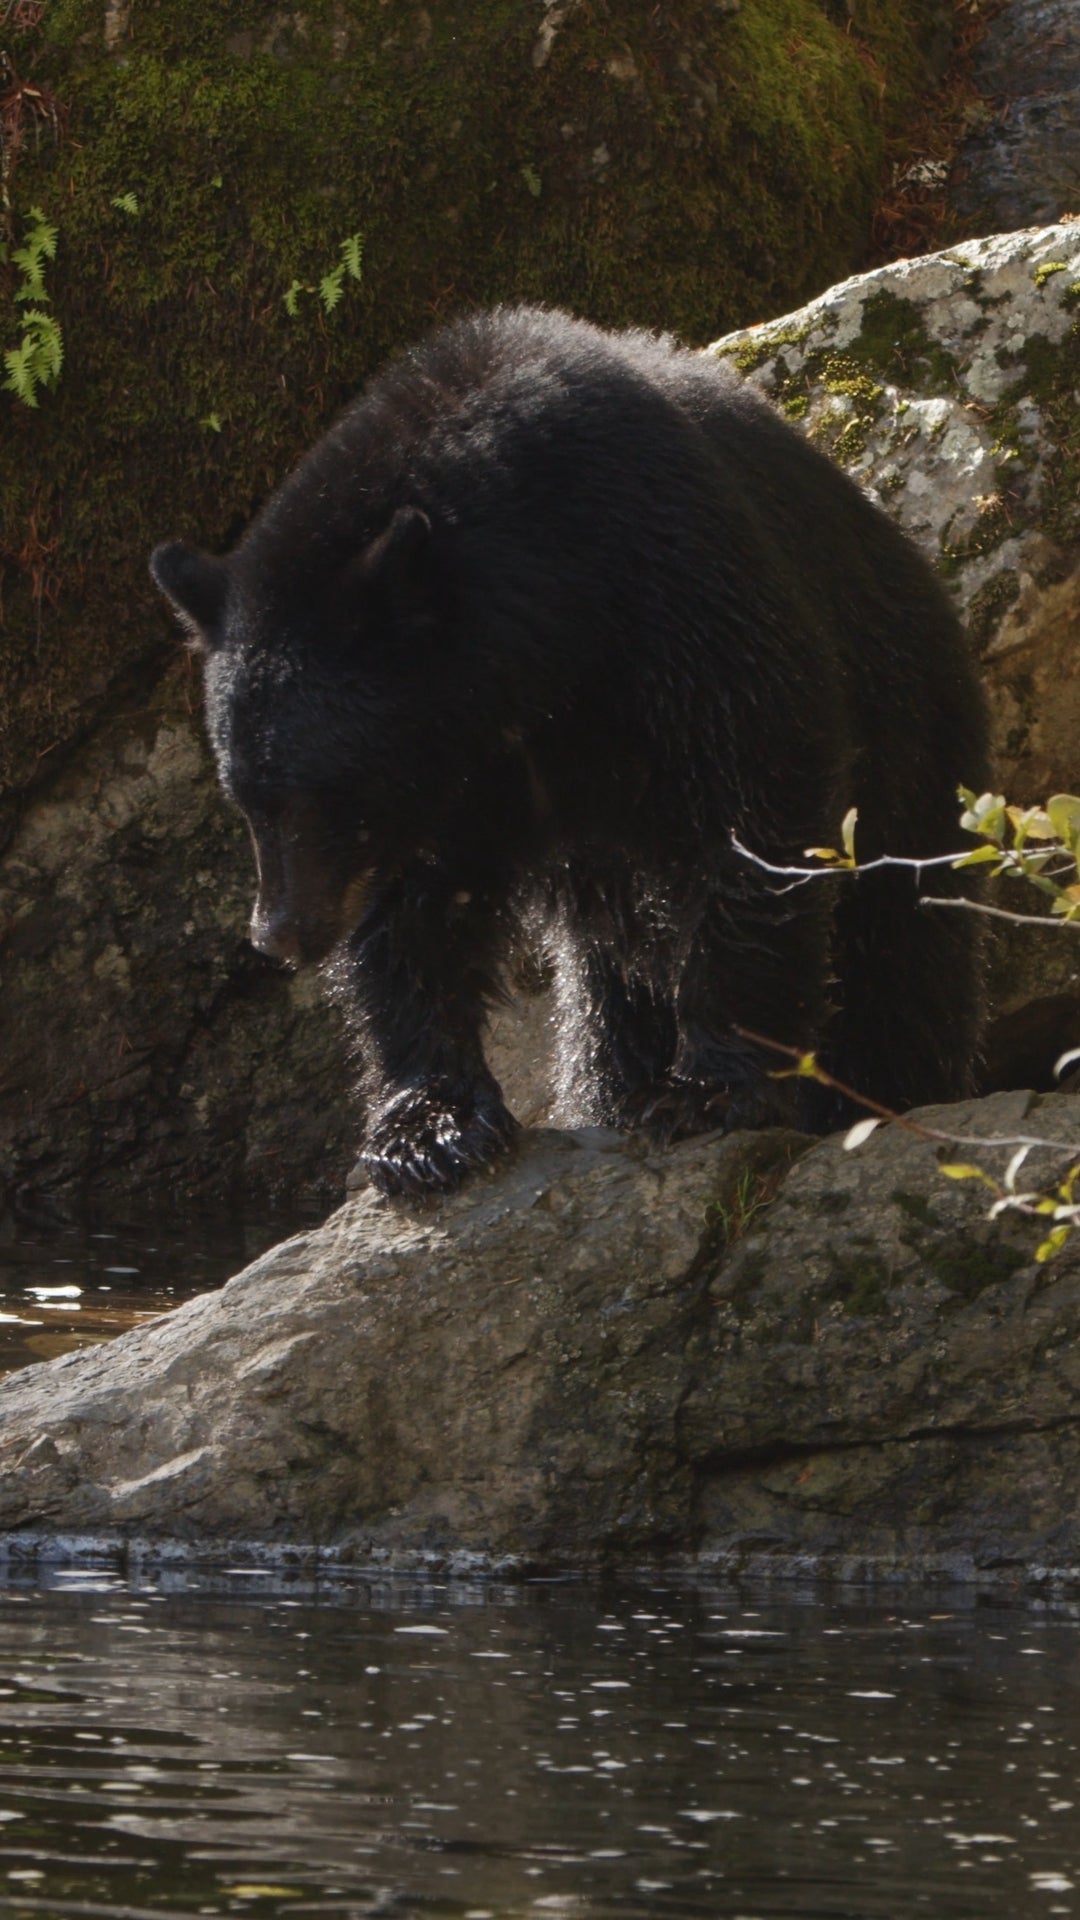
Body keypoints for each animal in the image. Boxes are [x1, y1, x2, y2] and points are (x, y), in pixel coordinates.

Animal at [148, 305, 983, 1190]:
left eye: (314, 798)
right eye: (243, 800)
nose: (277, 935)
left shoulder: (681, 596)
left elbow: (757, 800)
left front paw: (707, 1093)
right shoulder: (451, 780)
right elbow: (410, 921)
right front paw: (427, 1130)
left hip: (912, 731)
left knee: (899, 959)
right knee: (609, 1003)